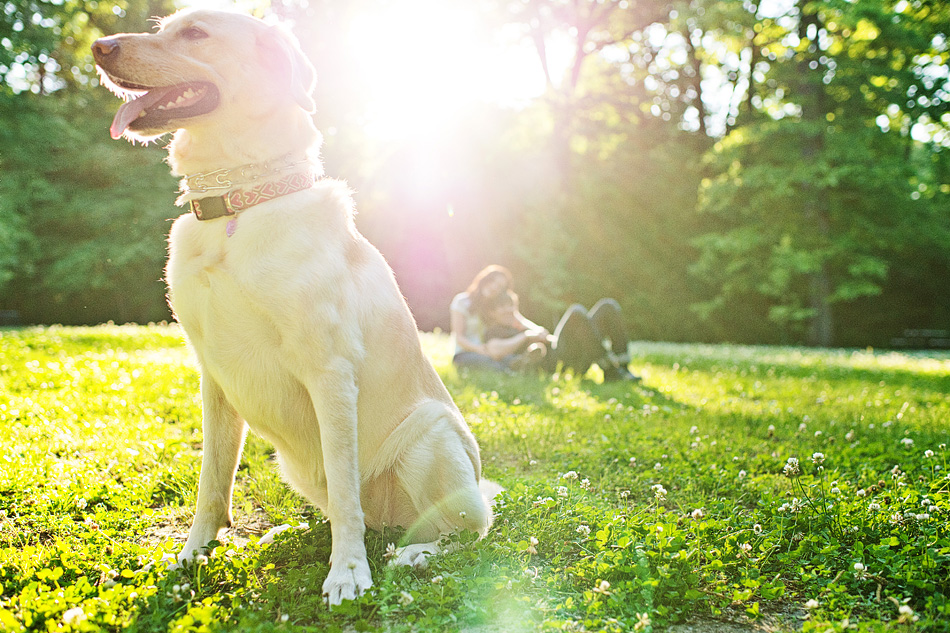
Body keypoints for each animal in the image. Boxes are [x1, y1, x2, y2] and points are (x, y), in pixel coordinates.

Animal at [93, 8, 494, 604]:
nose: (99, 47)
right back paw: (290, 531)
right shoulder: (213, 377)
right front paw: (192, 556)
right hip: (296, 466)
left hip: (433, 436)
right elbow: (212, 481)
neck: (235, 206)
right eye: (164, 27)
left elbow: (345, 489)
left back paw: (416, 553)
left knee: (459, 530)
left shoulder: (329, 369)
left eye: (196, 34)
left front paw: (347, 572)